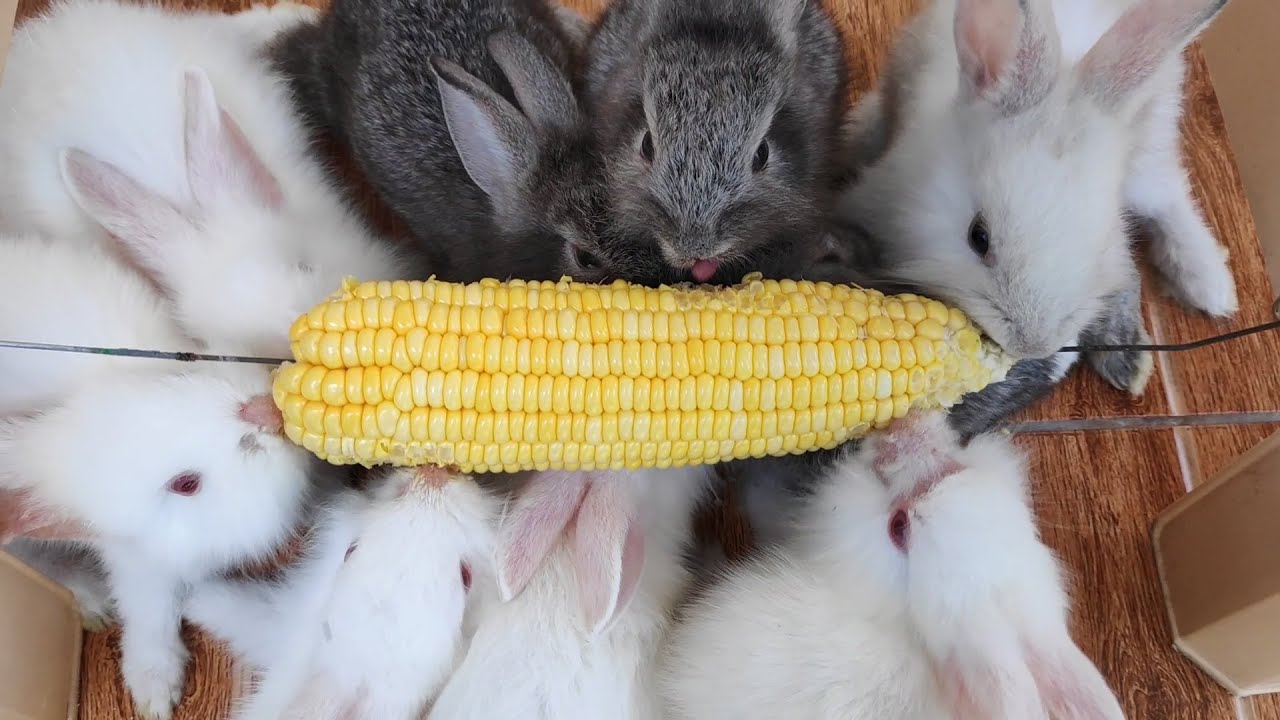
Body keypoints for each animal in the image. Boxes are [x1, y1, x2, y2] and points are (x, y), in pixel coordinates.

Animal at [834, 0, 1235, 367]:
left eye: (1102, 247)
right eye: (978, 237)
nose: (1032, 347)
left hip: (1152, 148)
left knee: (1169, 198)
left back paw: (1212, 287)